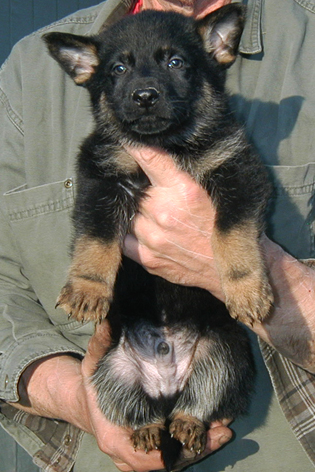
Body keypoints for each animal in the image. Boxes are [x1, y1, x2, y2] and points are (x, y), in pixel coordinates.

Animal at [45, 5, 272, 470]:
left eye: (176, 63)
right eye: (117, 69)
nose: (145, 96)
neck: (167, 144)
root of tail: (166, 384)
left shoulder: (238, 171)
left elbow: (232, 234)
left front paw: (246, 288)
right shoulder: (102, 178)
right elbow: (96, 238)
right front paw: (87, 289)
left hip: (225, 354)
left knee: (201, 399)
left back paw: (186, 423)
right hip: (113, 369)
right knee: (134, 406)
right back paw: (149, 428)